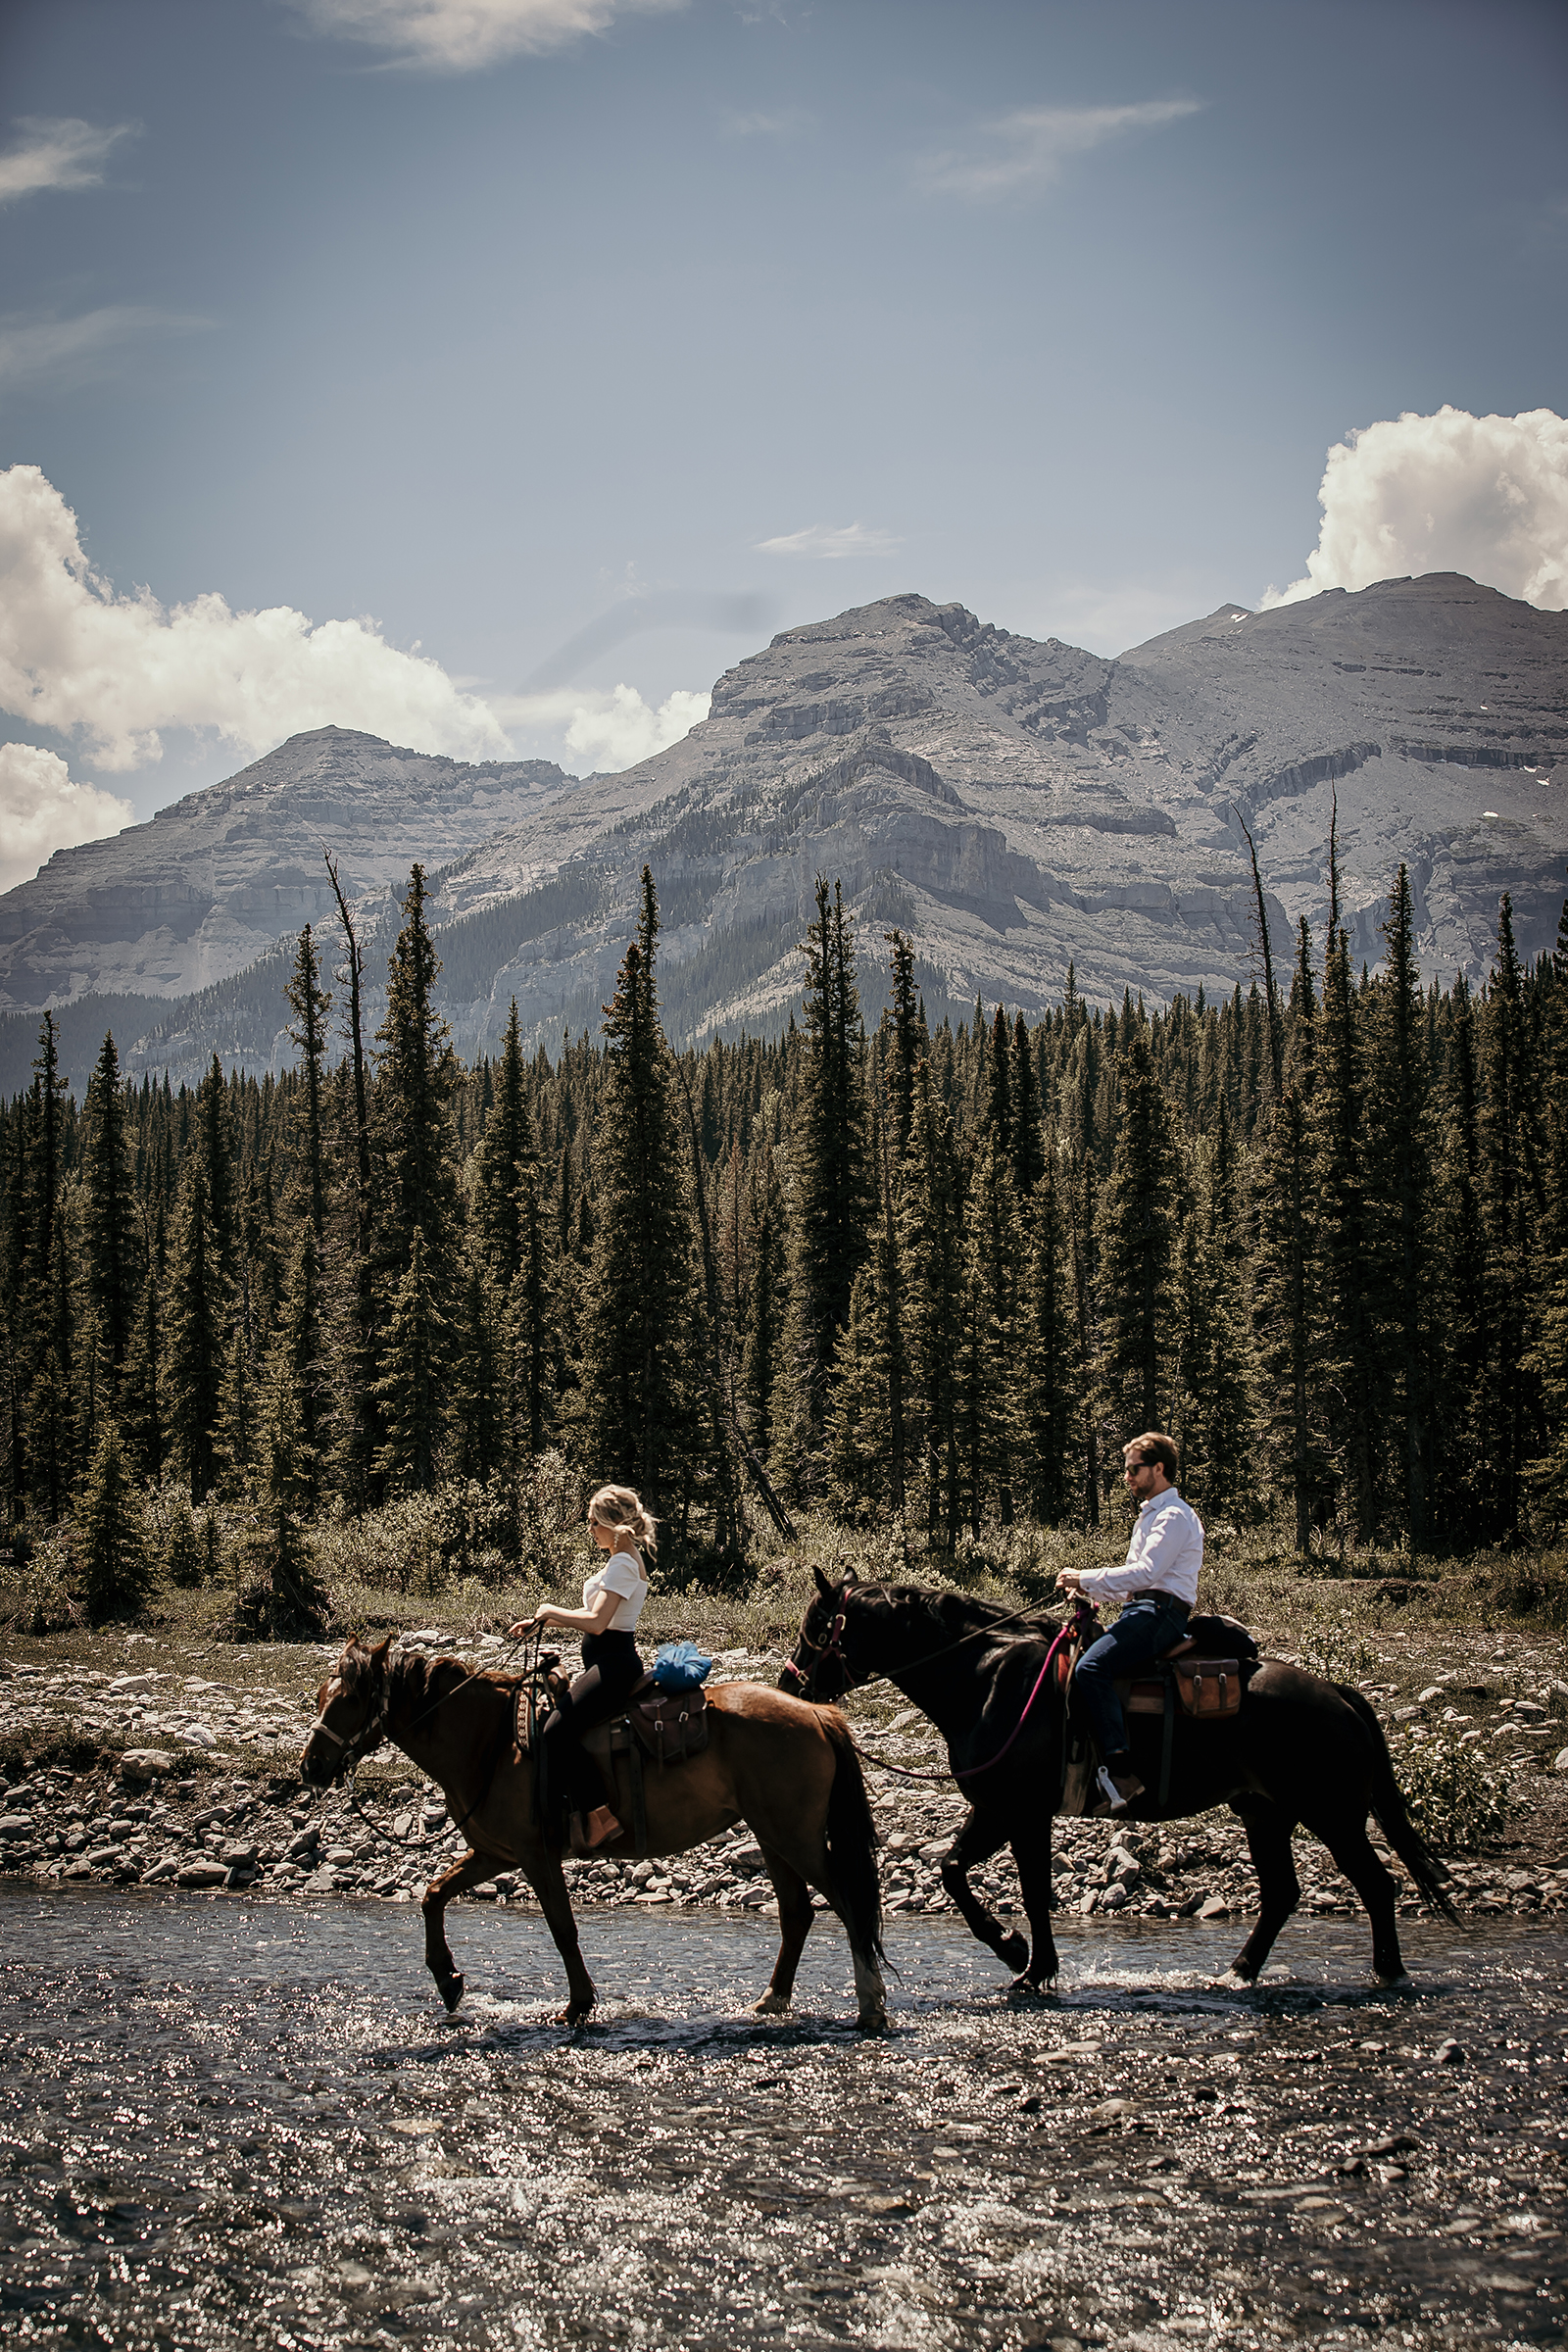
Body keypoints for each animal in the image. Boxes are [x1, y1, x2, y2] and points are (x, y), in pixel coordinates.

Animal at [293, 1637, 883, 2041]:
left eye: (348, 1700)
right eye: (322, 1695)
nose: (311, 1767)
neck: (491, 1744)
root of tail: (816, 1711)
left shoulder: (535, 1856)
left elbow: (562, 1929)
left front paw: (577, 2006)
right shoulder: (493, 1853)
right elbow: (433, 1895)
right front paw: (448, 1980)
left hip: (796, 1837)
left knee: (848, 1903)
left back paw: (870, 2006)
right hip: (773, 1836)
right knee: (797, 1913)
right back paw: (771, 2002)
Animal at [785, 1571, 1457, 1994]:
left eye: (816, 1626)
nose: (791, 1685)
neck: (985, 1682)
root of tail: (1339, 1695)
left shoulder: (1012, 1810)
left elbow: (993, 1882)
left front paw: (1019, 1957)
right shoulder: (1013, 1812)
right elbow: (992, 1881)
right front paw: (1028, 1962)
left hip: (1333, 1814)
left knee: (1375, 1885)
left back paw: (1389, 1973)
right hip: (1265, 1812)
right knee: (1282, 1895)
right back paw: (1238, 1972)